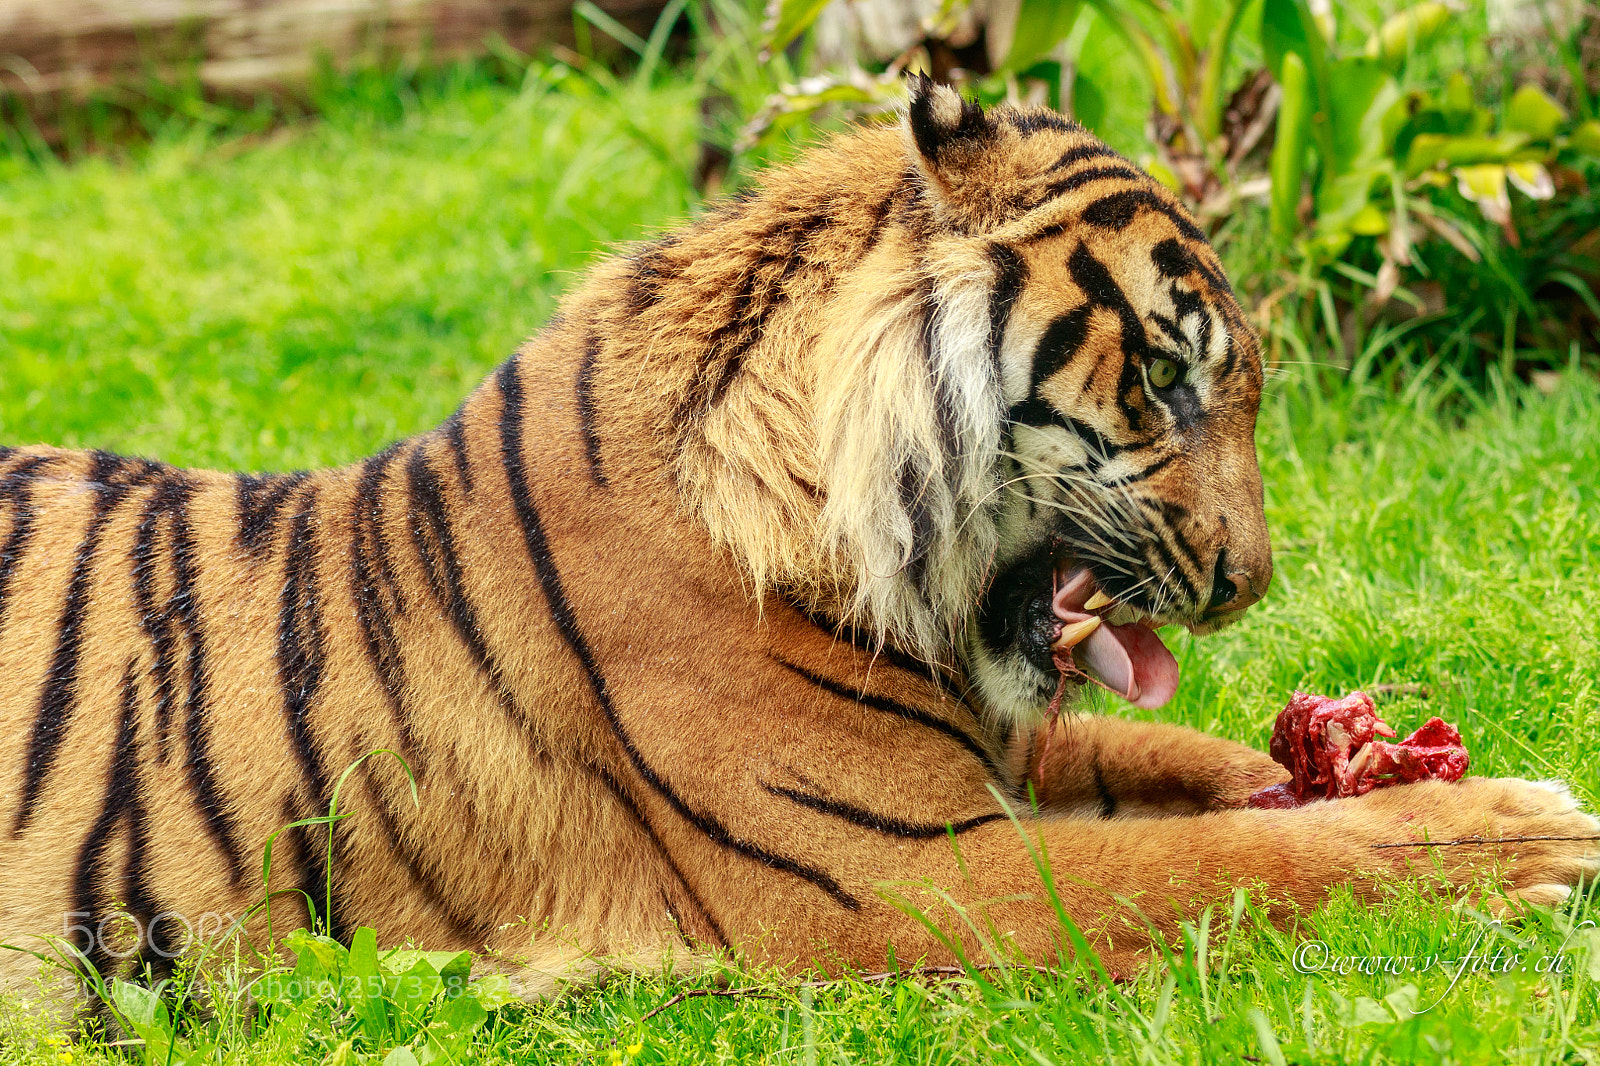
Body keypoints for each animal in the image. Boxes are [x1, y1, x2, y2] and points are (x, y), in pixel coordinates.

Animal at [2, 78, 1596, 1009]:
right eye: (1160, 377)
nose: (1248, 583)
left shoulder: (990, 756)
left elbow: (1181, 762)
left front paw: (1327, 763)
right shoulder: (903, 873)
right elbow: (1240, 866)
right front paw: (1527, 831)